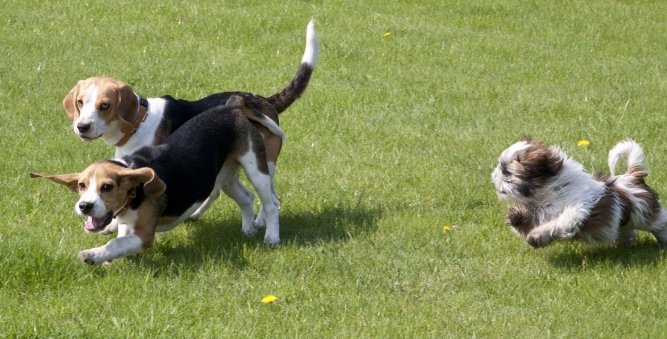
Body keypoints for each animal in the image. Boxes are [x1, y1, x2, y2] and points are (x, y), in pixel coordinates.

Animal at [33, 95, 280, 266]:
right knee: (246, 198)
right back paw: (247, 229)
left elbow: (116, 243)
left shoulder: (143, 234)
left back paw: (271, 237)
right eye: (82, 186)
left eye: (107, 187)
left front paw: (93, 255)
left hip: (256, 168)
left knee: (270, 204)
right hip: (225, 177)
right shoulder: (127, 225)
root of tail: (232, 105)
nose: (84, 206)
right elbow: (120, 239)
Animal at [64, 19, 320, 226]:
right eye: (80, 102)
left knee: (271, 198)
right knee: (223, 192)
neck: (139, 122)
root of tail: (265, 101)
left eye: (105, 105)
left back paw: (260, 223)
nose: (81, 127)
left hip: (262, 162)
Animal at [490, 139, 667, 250]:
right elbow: (526, 220)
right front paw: (515, 215)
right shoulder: (537, 211)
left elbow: (559, 222)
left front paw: (536, 236)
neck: (547, 192)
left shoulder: (576, 209)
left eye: (507, 172)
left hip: (647, 214)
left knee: (660, 223)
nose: (493, 175)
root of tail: (632, 177)